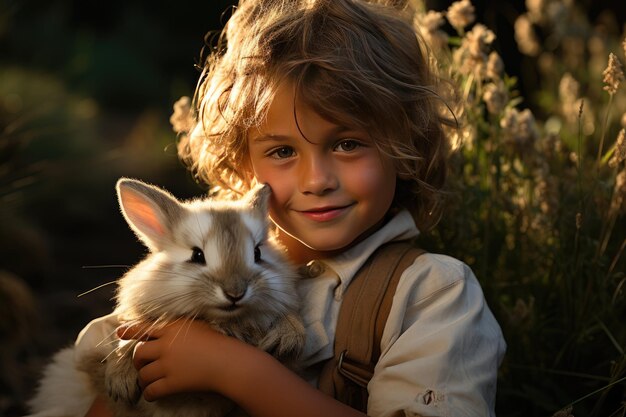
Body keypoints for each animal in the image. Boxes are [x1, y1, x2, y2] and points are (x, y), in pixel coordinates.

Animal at [26, 179, 304, 416]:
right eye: (197, 255)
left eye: (257, 253)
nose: (235, 292)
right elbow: (128, 336)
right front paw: (121, 382)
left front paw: (287, 337)